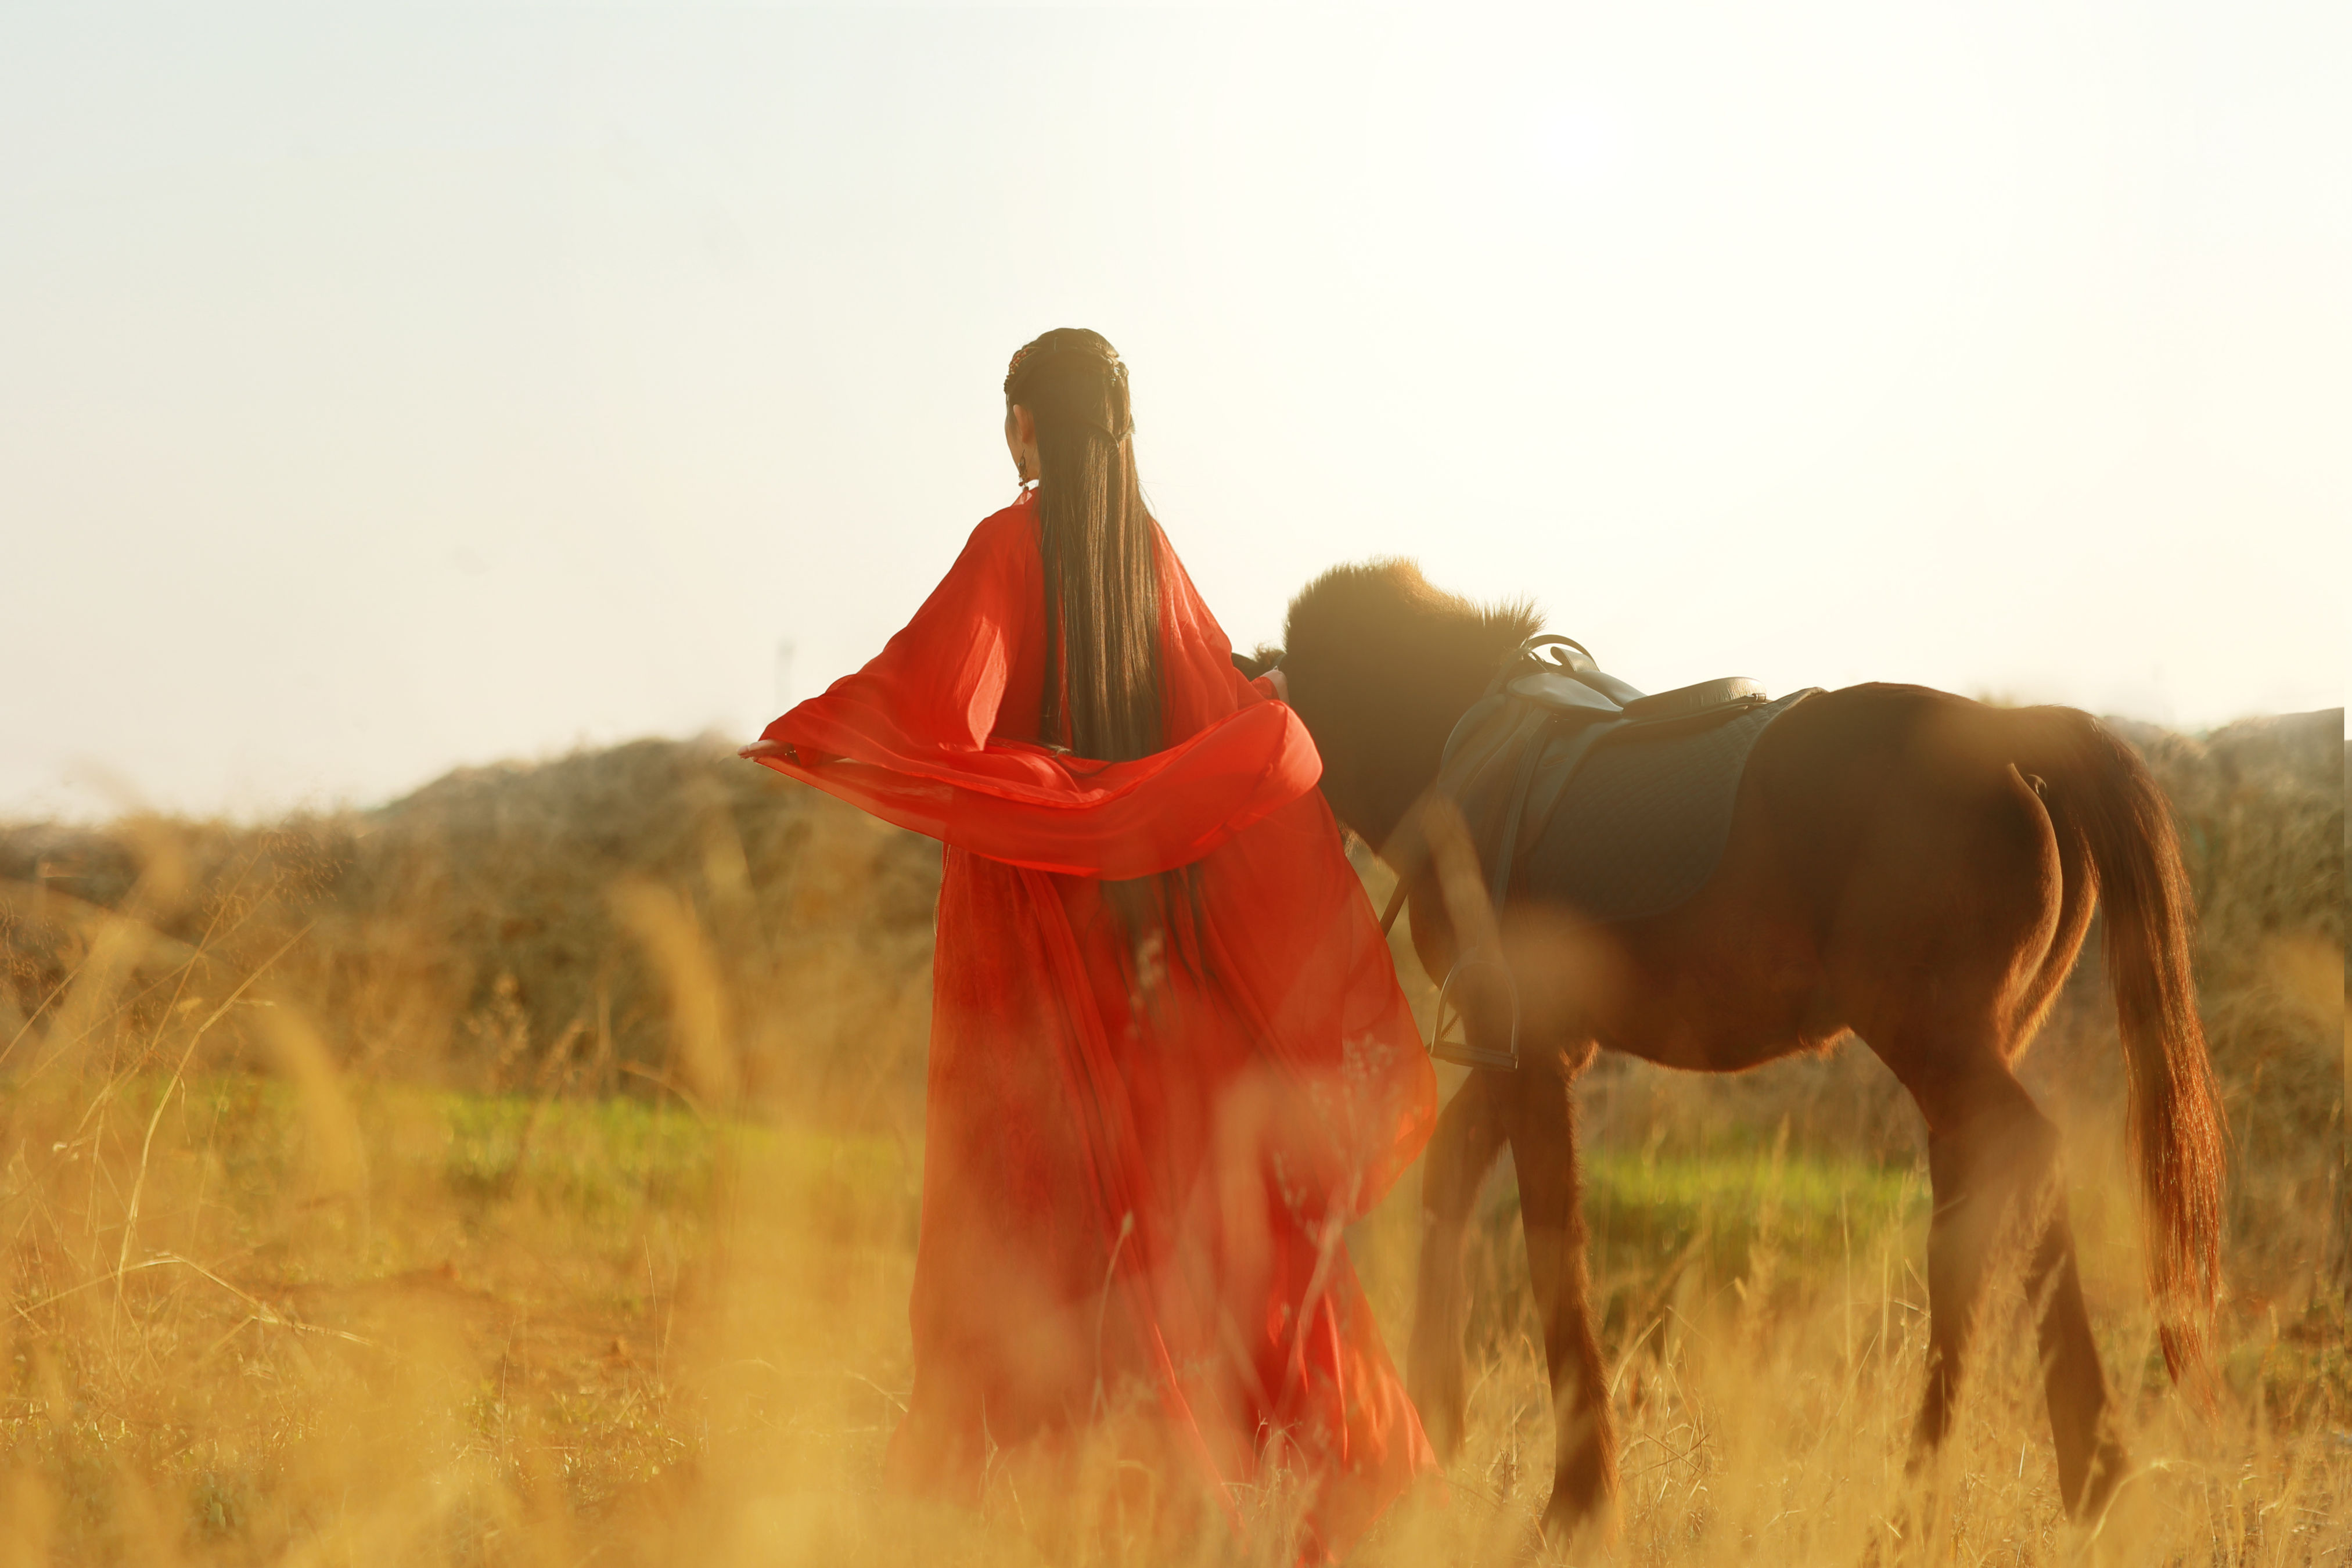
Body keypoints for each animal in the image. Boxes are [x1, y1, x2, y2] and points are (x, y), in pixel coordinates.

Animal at [1251, 562, 2220, 1542]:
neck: (1450, 741)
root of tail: (2008, 744)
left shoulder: (1528, 1054)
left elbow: (1552, 1243)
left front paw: (1579, 1499)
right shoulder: (1526, 1044)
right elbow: (1453, 1178)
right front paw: (1435, 1426)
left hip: (1935, 1040)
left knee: (2019, 1167)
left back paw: (2046, 1484)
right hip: (1972, 1050)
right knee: (1984, 1211)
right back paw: (1999, 1488)